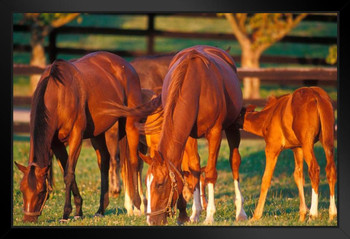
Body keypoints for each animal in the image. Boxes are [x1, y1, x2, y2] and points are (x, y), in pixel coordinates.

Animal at [14, 51, 157, 223]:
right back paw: (101, 209)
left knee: (134, 162)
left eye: (42, 191)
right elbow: (67, 171)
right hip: (98, 133)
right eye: (22, 189)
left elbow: (69, 174)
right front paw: (78, 211)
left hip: (130, 124)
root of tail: (127, 66)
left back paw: (137, 206)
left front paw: (66, 214)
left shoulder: (76, 137)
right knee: (105, 163)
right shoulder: (57, 144)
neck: (59, 94)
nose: (28, 219)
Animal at [137, 45, 246, 226]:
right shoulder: (187, 136)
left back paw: (240, 212)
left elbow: (210, 173)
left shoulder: (215, 132)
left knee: (235, 162)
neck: (196, 87)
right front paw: (191, 214)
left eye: (160, 184)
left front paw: (209, 215)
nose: (151, 221)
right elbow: (192, 170)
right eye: (146, 183)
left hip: (232, 126)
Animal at [237, 87, 338, 221]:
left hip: (308, 143)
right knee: (330, 170)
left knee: (314, 170)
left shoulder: (272, 148)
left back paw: (313, 215)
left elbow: (266, 178)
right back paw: (332, 214)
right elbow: (298, 175)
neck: (268, 117)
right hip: (327, 141)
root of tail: (316, 96)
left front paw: (256, 216)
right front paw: (302, 216)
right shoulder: (297, 148)